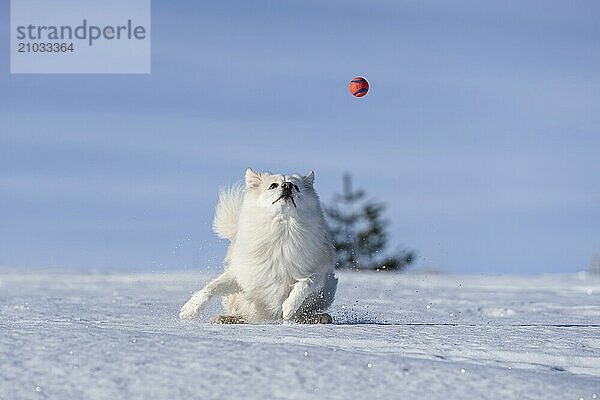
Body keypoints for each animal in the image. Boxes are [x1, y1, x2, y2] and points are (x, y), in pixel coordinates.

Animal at [178, 167, 338, 324]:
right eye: (273, 185)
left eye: (296, 187)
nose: (287, 185)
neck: (281, 230)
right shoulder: (243, 274)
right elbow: (211, 287)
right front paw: (189, 310)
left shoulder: (320, 272)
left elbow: (307, 282)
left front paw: (288, 308)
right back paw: (227, 319)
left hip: (328, 288)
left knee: (305, 313)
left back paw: (319, 318)